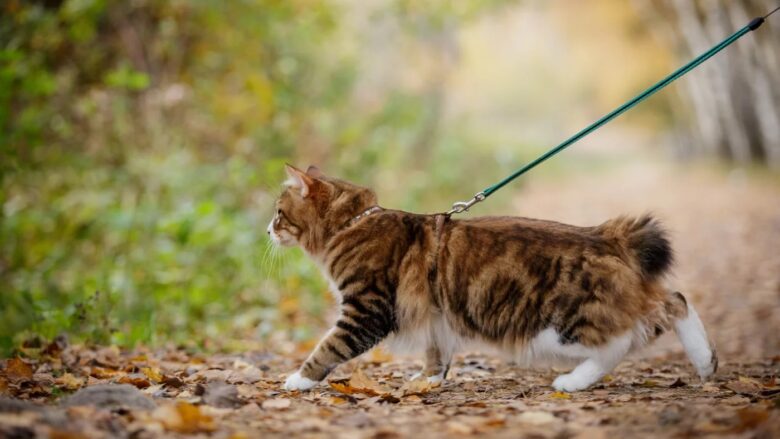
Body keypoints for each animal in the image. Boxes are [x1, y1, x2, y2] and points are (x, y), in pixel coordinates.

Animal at [266, 165, 716, 392]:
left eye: (278, 213)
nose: (267, 231)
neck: (353, 224)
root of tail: (604, 234)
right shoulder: (435, 315)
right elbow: (436, 353)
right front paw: (429, 380)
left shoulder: (367, 309)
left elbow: (328, 347)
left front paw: (297, 379)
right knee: (675, 302)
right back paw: (706, 362)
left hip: (559, 327)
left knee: (620, 342)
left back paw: (572, 382)